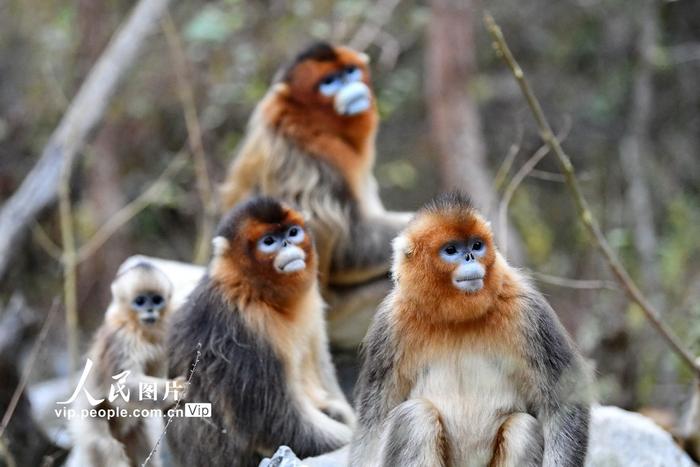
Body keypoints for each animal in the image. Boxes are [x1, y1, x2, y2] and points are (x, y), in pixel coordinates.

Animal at [220, 42, 410, 348]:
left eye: (350, 71)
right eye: (329, 82)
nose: (350, 84)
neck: (304, 122)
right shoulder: (307, 165)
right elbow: (347, 247)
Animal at [350, 193, 592, 467]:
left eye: (476, 245)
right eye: (451, 250)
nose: (470, 258)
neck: (458, 319)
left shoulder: (526, 310)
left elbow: (566, 400)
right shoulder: (390, 324)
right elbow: (372, 424)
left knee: (522, 428)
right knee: (415, 417)